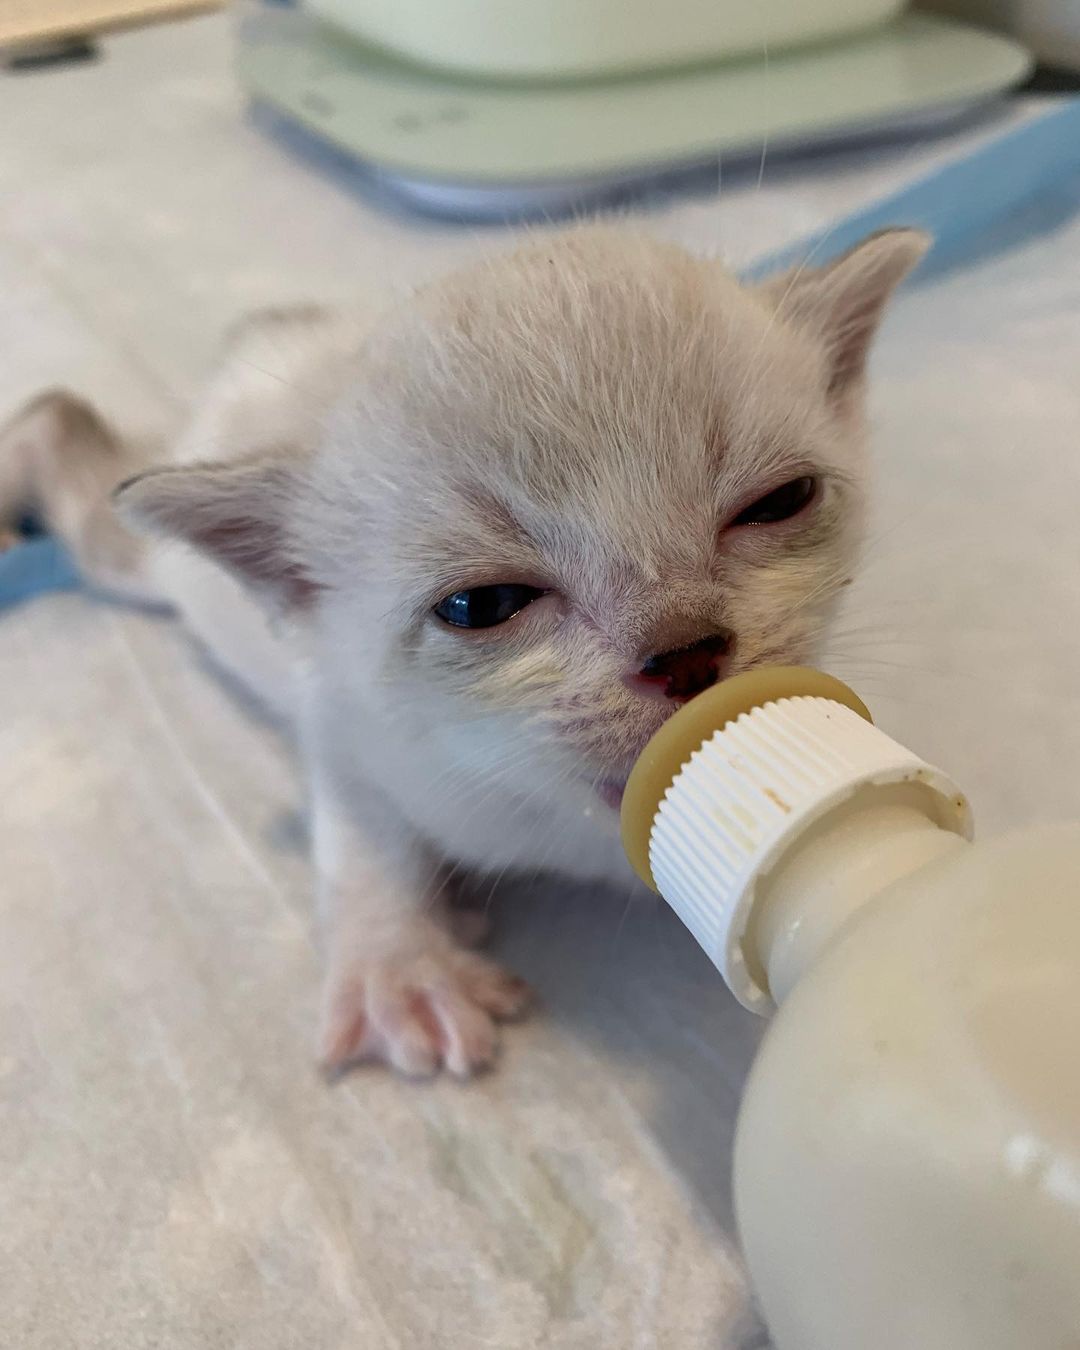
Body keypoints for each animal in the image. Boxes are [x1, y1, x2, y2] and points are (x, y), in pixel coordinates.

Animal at [0, 226, 928, 1080]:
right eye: (482, 606)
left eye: (780, 501)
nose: (686, 655)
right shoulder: (346, 723)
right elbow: (362, 835)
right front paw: (400, 965)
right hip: (156, 568)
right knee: (82, 473)